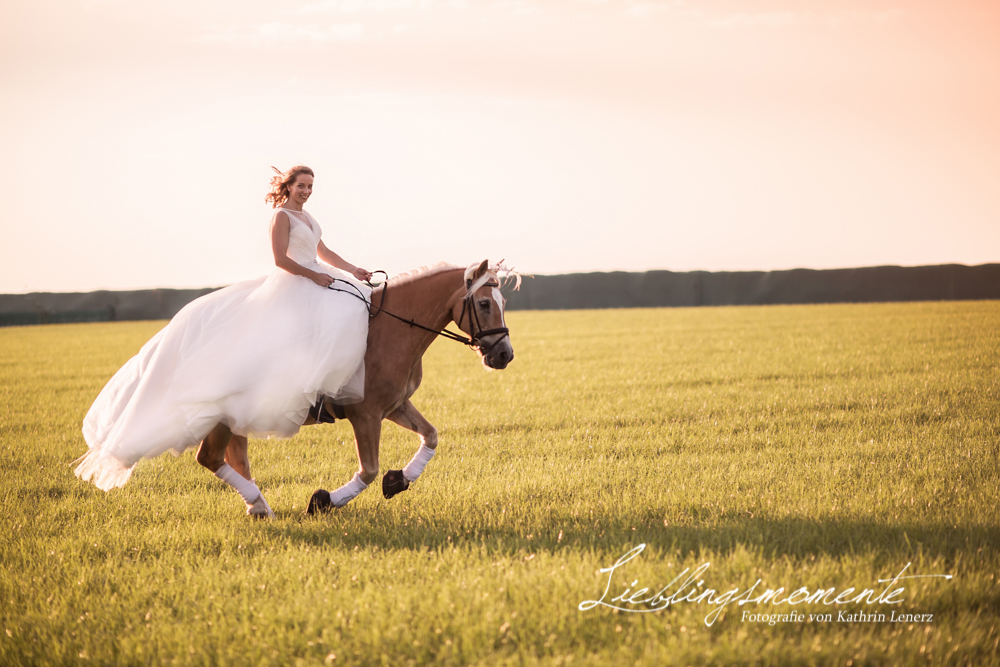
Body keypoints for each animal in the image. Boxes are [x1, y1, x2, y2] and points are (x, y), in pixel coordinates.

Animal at [192, 260, 520, 516]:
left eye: (503, 303)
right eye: (484, 304)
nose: (505, 355)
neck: (392, 331)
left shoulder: (395, 406)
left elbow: (431, 436)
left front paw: (398, 480)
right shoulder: (365, 414)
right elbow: (369, 470)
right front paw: (323, 501)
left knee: (231, 455)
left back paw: (258, 507)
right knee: (210, 457)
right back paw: (260, 506)